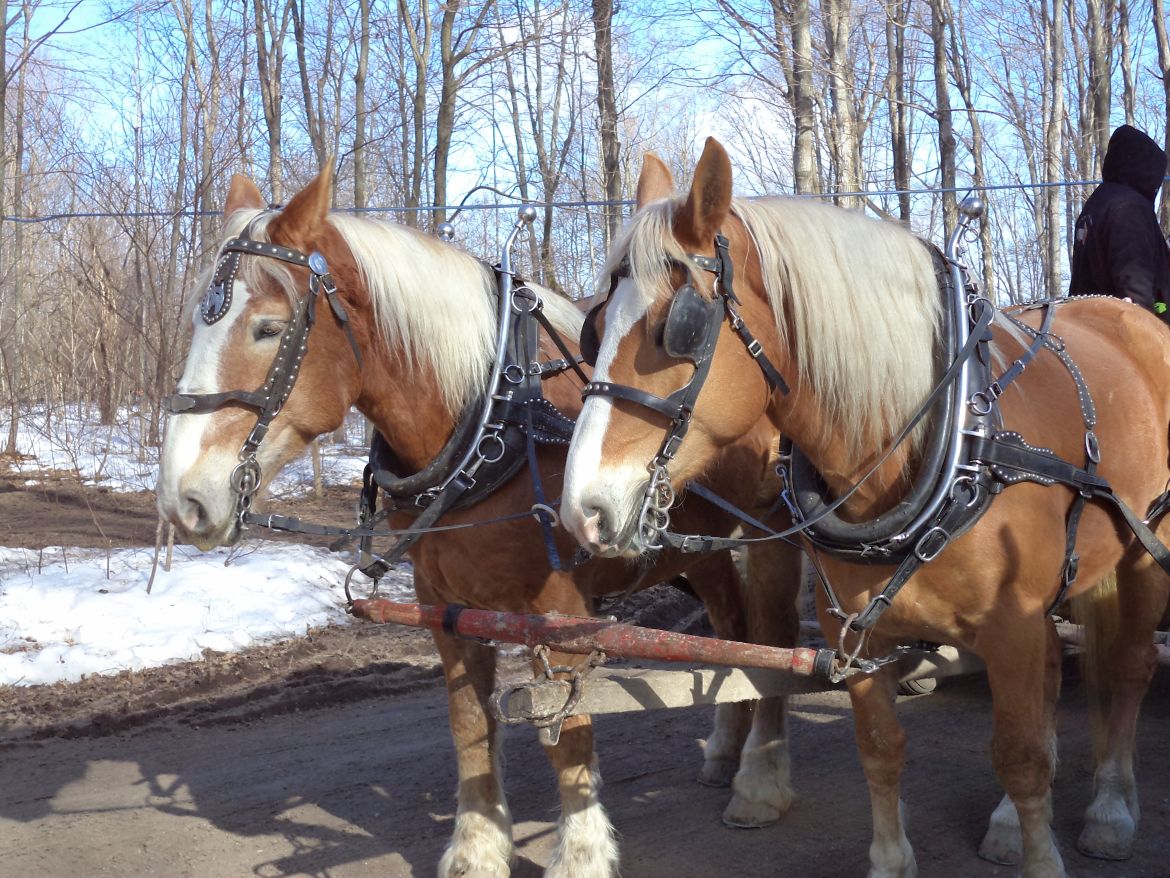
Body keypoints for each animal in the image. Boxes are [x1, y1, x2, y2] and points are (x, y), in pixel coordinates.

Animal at [154, 166, 804, 878]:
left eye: (269, 329)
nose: (184, 499)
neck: (494, 421)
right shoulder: (447, 606)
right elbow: (469, 723)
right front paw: (477, 848)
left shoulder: (558, 610)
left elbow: (566, 736)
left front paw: (581, 854)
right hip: (693, 550)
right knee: (732, 631)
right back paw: (724, 749)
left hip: (773, 532)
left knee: (772, 638)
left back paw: (760, 783)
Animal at [561, 136, 1170, 878]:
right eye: (595, 328)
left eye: (677, 329)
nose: (582, 508)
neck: (950, 440)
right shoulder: (858, 636)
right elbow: (881, 751)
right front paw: (891, 859)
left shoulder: (1014, 627)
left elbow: (1023, 757)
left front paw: (1043, 859)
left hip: (1146, 554)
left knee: (1129, 667)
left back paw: (1111, 807)